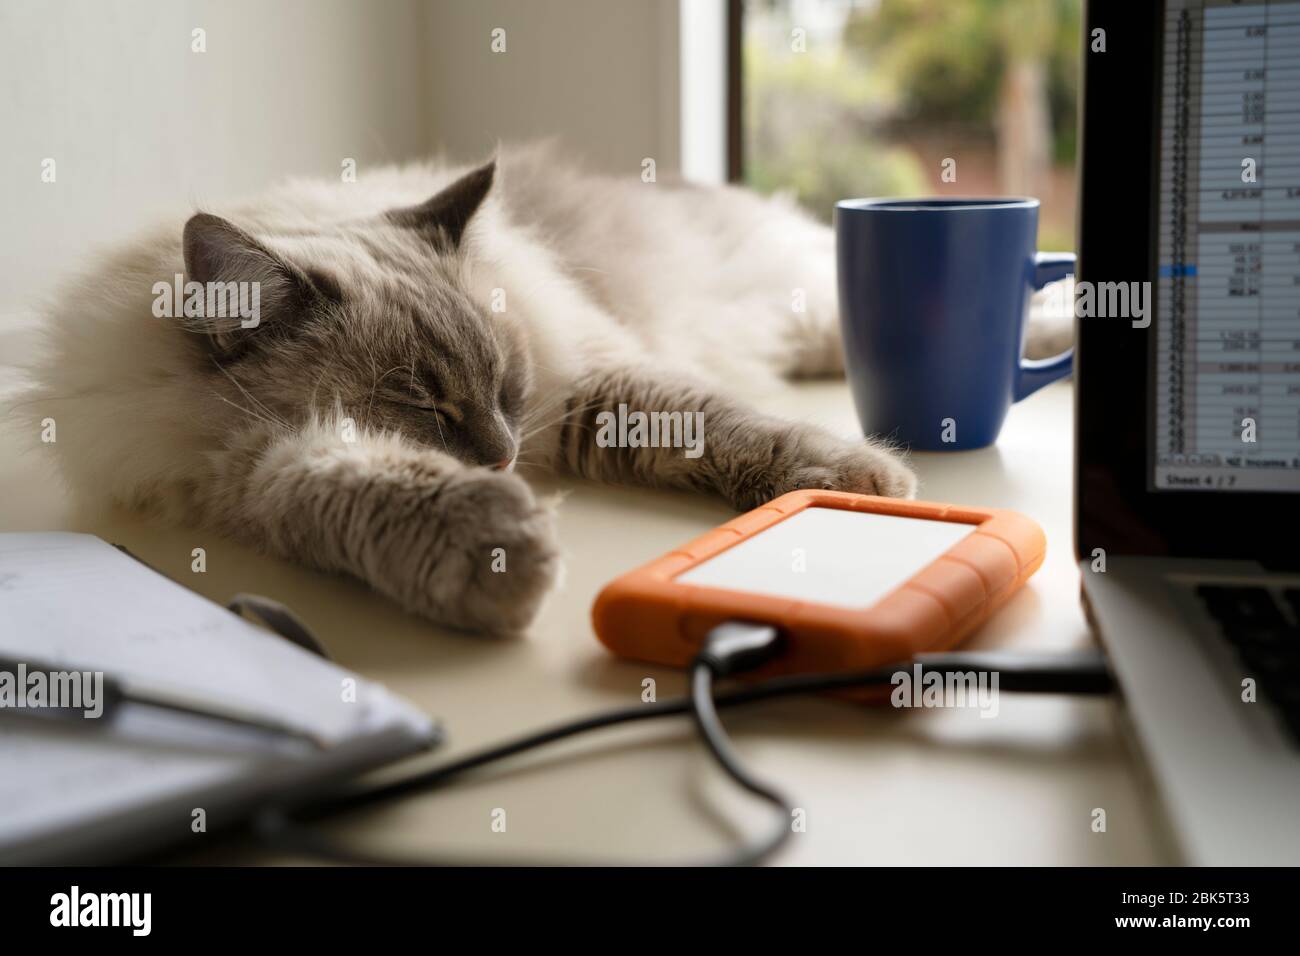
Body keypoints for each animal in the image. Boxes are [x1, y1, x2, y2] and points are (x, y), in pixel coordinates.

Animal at [27, 141, 935, 634]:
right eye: (422, 404)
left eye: (503, 384)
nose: (502, 459)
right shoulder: (257, 466)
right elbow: (356, 492)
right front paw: (498, 557)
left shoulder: (588, 386)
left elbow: (732, 425)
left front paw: (864, 485)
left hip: (802, 300)